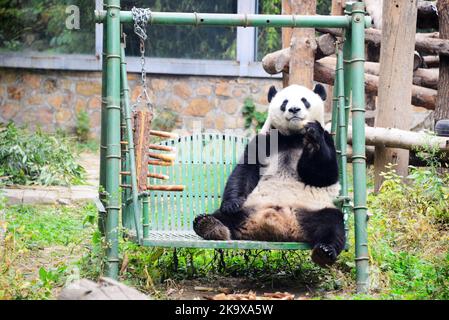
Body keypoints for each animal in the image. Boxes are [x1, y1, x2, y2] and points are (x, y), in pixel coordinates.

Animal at [192, 84, 344, 266]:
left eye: (304, 100)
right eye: (284, 102)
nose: (294, 109)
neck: (293, 136)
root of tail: (279, 227)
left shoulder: (328, 139)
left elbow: (325, 175)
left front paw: (313, 138)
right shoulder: (264, 140)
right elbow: (244, 171)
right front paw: (231, 203)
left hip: (312, 210)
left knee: (333, 223)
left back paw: (325, 251)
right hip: (249, 208)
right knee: (223, 216)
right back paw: (208, 224)